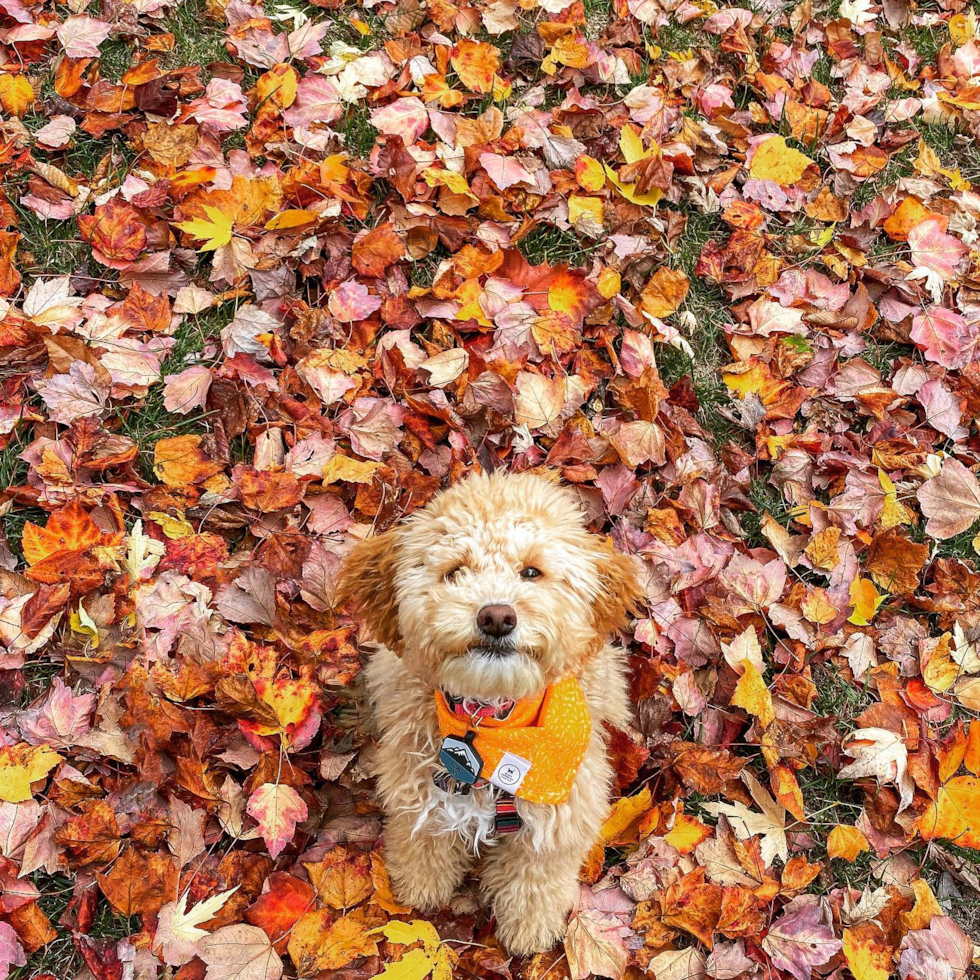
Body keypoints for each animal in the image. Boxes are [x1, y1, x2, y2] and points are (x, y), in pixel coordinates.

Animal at [338, 470, 644, 952]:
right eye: (454, 571)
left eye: (532, 571)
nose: (497, 616)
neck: (492, 723)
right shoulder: (417, 792)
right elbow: (422, 842)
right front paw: (419, 888)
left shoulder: (564, 812)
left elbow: (537, 878)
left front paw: (530, 927)